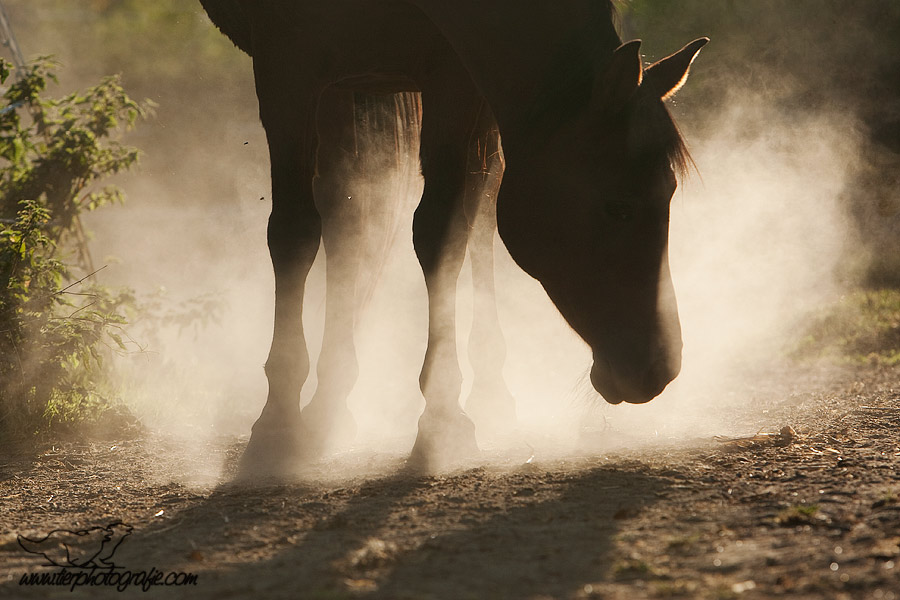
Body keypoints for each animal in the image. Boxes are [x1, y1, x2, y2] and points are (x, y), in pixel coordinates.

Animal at [199, 1, 712, 478]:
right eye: (618, 205)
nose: (658, 368)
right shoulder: (287, 64)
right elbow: (294, 232)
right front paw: (276, 424)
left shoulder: (455, 75)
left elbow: (445, 230)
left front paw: (442, 417)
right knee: (348, 210)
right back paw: (324, 404)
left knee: (445, 207)